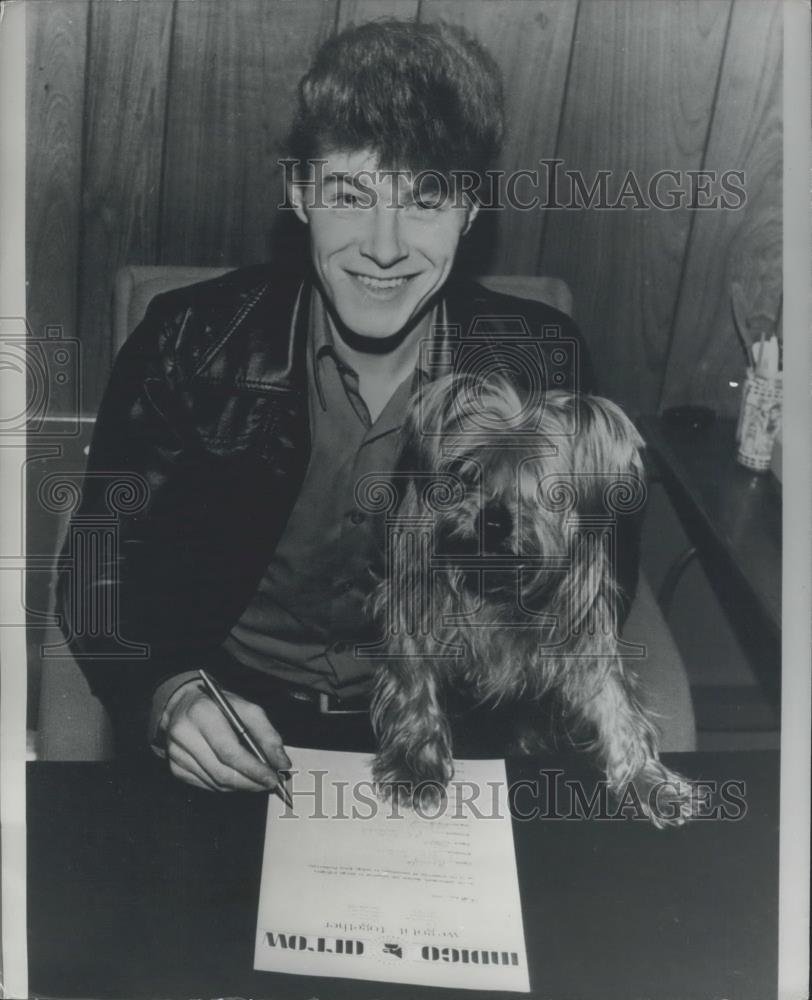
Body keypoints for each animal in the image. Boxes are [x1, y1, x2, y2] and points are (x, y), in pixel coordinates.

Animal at [368, 374, 692, 828]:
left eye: (541, 485)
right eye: (466, 472)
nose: (493, 520)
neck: (497, 580)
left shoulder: (583, 631)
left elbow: (614, 703)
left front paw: (647, 780)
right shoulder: (413, 606)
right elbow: (415, 684)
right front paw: (416, 765)